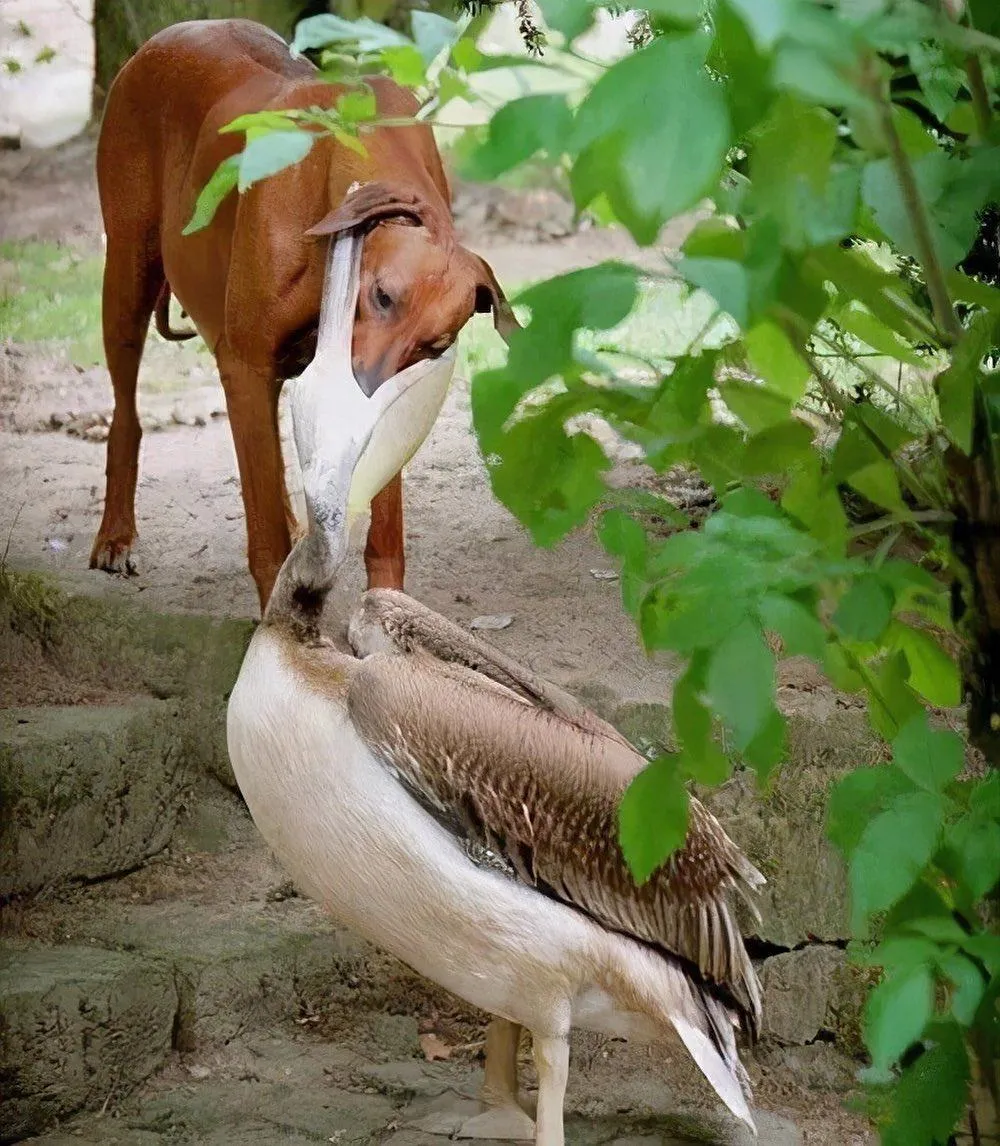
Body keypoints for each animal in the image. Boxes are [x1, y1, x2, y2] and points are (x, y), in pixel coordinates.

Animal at [90, 15, 515, 609]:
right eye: (381, 296)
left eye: (433, 346)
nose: (360, 391)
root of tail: (166, 35)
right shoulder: (245, 365)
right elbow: (264, 528)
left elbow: (383, 518)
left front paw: (385, 607)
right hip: (128, 281)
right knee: (126, 413)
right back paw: (116, 533)